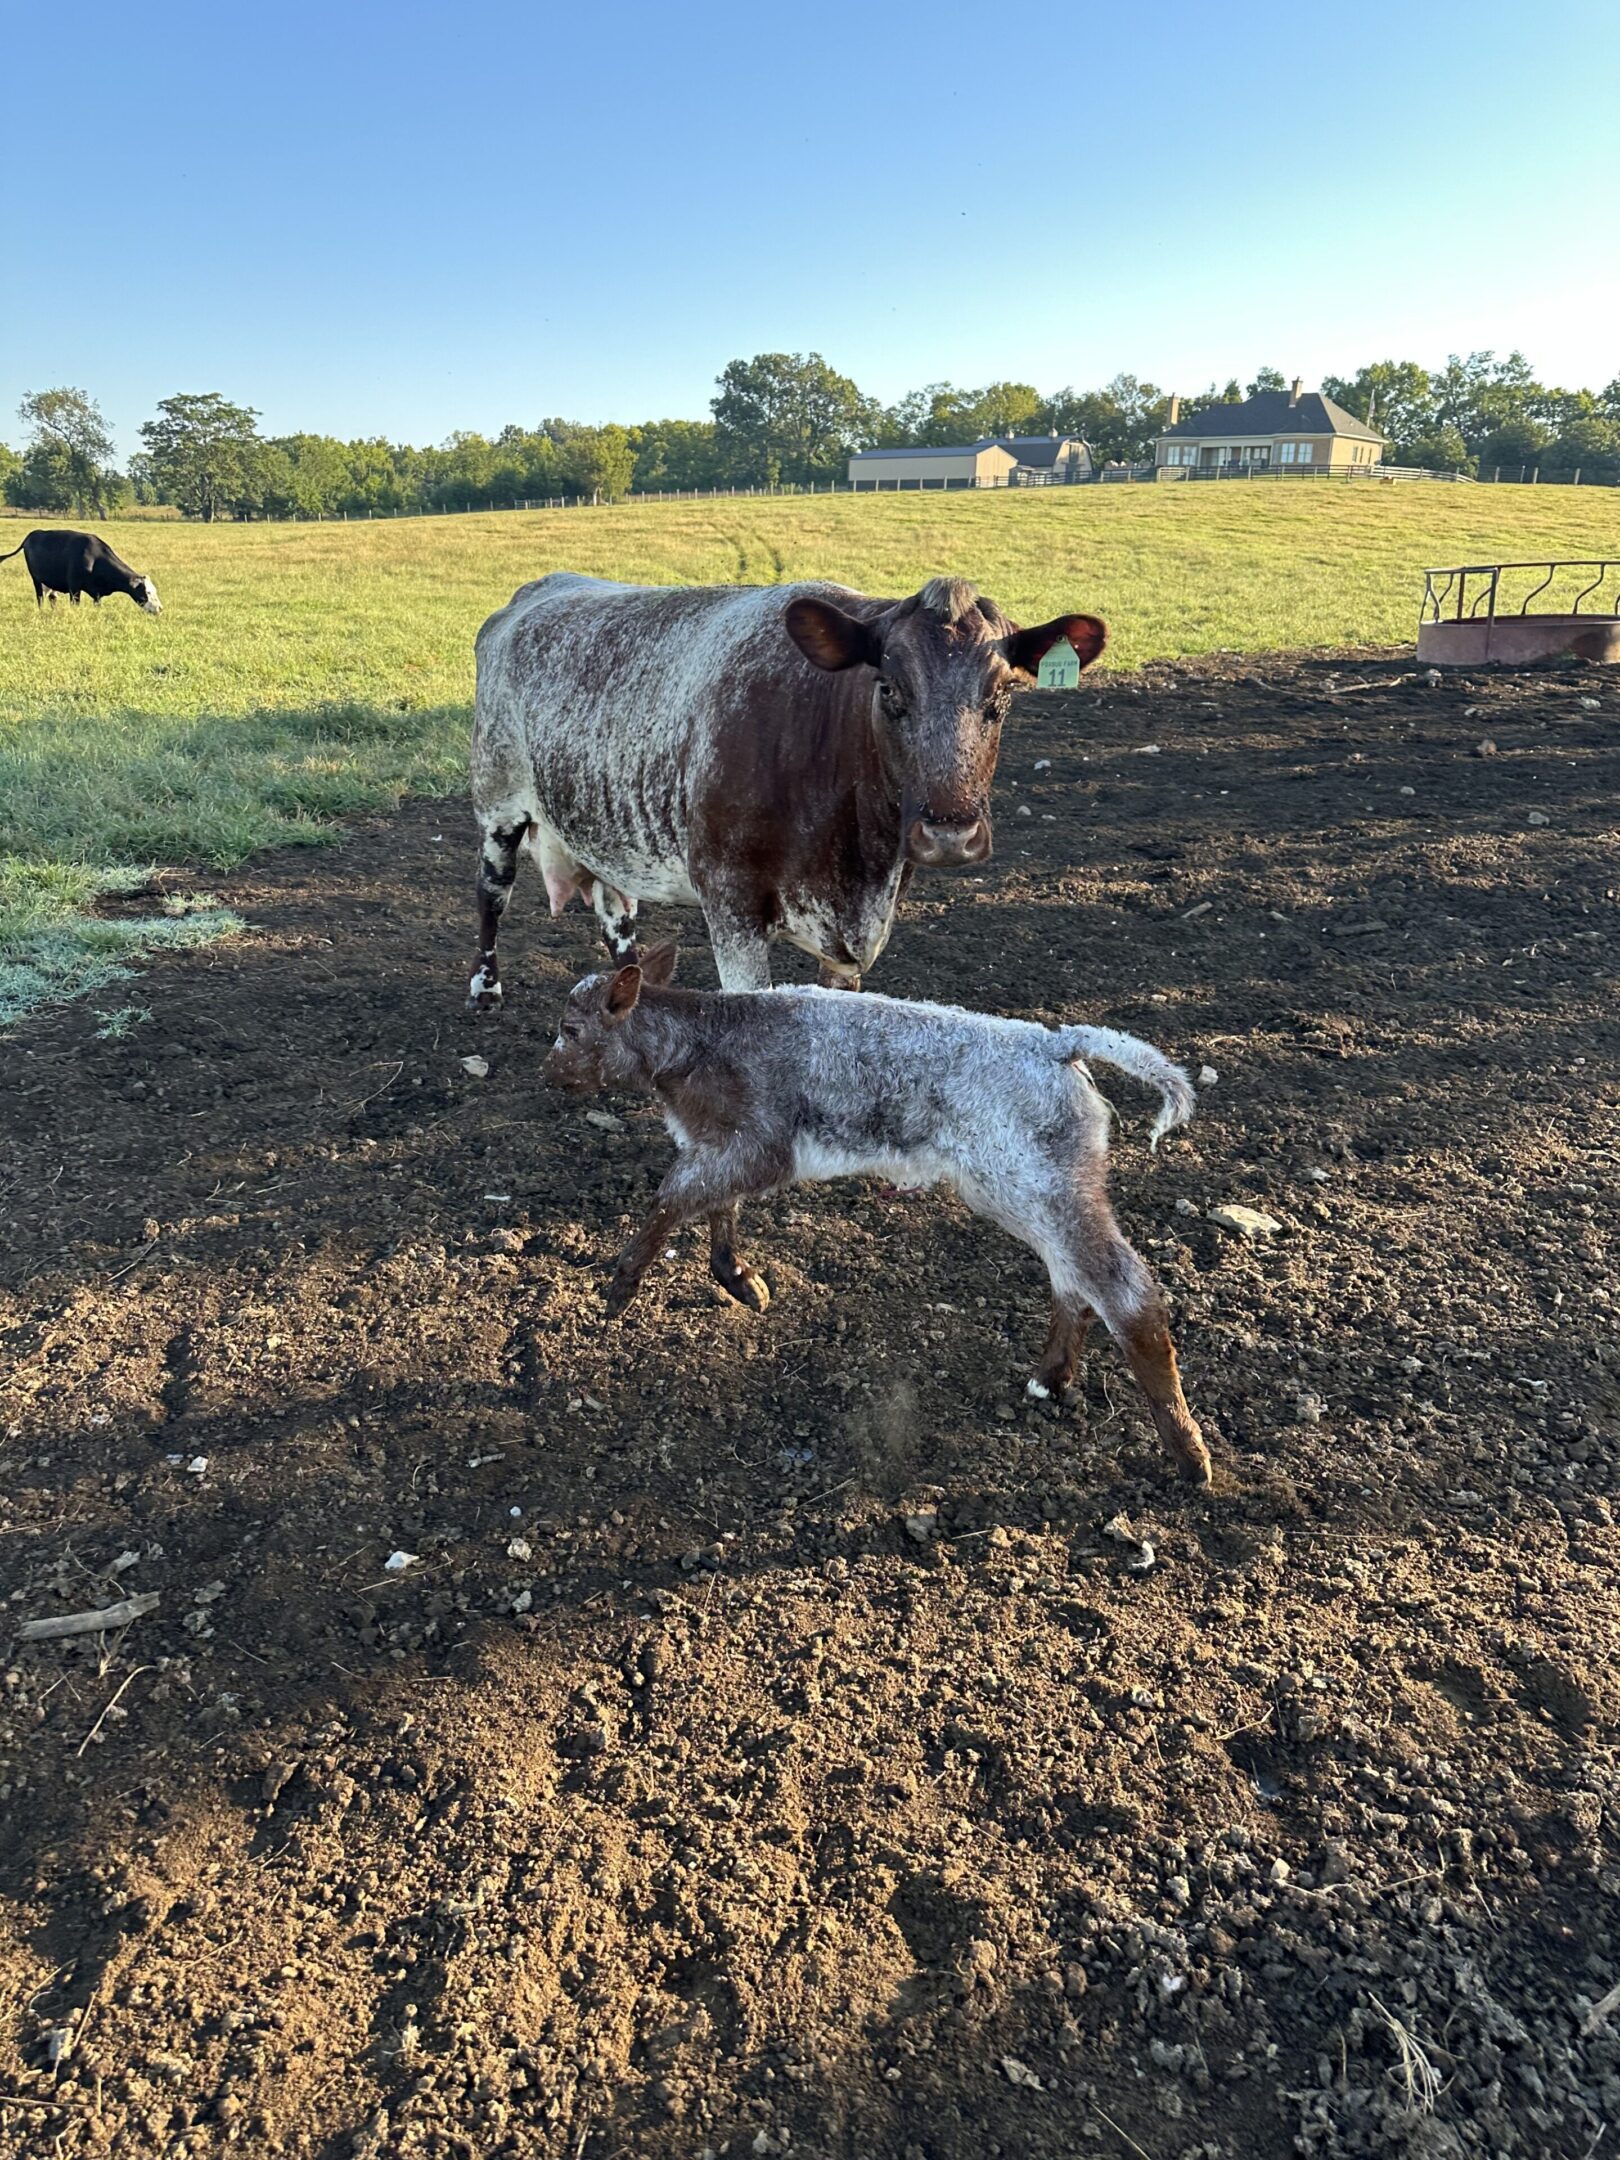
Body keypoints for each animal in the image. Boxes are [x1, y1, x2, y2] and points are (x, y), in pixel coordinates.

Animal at [0, 528, 162, 613]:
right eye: (147, 592)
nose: (160, 608)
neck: (94, 559)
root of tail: (32, 535)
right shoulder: (74, 588)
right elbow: (75, 605)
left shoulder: (97, 593)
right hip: (36, 579)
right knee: (40, 598)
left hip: (49, 582)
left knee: (52, 597)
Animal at [469, 572, 1105, 1007]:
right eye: (889, 689)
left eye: (1002, 697)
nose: (950, 834)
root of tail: (535, 591)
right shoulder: (730, 903)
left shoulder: (856, 934)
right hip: (497, 801)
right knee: (492, 893)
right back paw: (485, 987)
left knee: (615, 913)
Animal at [545, 944, 1210, 1484]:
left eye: (569, 1028)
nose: (550, 1076)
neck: (703, 1042)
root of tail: (1055, 1042)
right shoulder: (722, 1147)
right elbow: (715, 1206)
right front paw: (737, 1278)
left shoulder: (757, 1145)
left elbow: (672, 1198)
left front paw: (621, 1285)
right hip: (1034, 1186)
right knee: (1073, 1280)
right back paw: (1049, 1378)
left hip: (1035, 1183)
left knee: (1124, 1289)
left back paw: (1188, 1454)